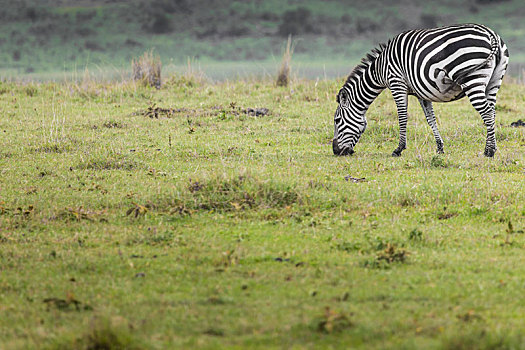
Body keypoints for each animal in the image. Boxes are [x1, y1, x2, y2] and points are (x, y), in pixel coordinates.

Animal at [332, 23, 508, 157]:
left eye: (337, 121)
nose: (336, 151)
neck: (380, 69)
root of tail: (491, 34)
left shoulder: (397, 82)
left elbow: (402, 117)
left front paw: (399, 149)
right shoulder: (421, 93)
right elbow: (431, 119)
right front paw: (440, 148)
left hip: (472, 78)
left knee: (486, 112)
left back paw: (489, 151)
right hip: (494, 82)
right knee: (492, 112)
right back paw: (490, 147)